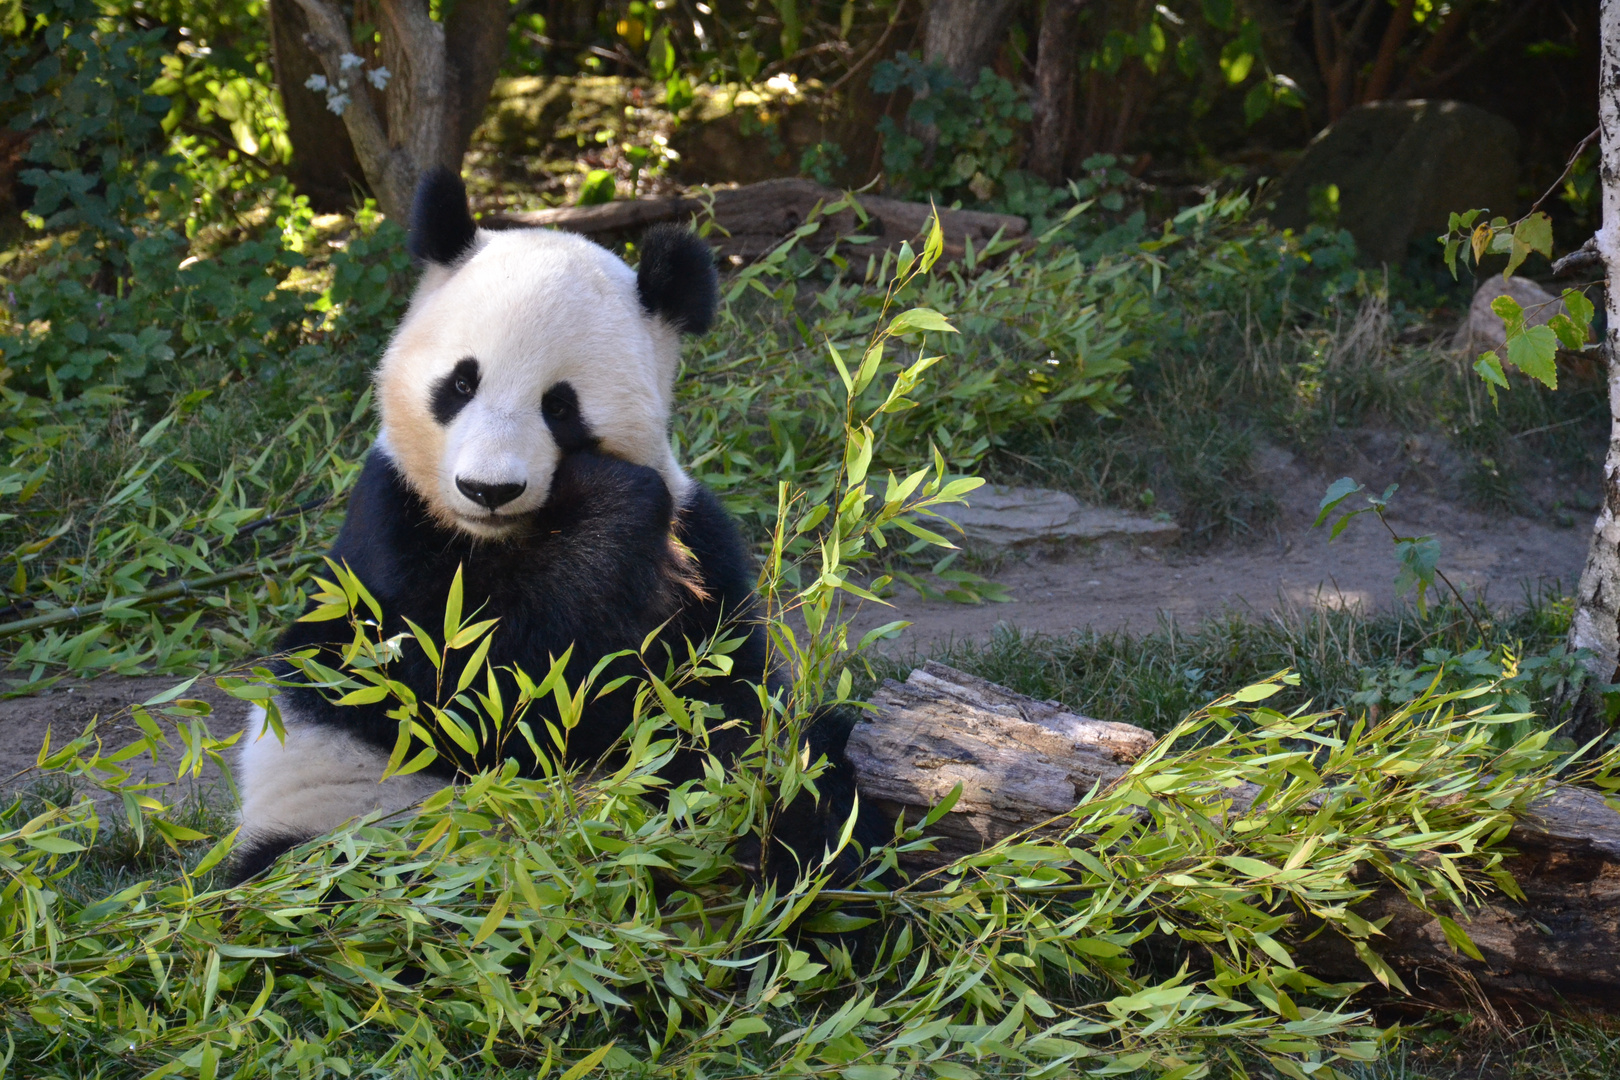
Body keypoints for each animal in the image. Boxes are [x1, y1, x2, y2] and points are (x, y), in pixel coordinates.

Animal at [233, 170, 868, 887]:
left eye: (560, 406)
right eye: (461, 383)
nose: (489, 489)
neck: (504, 536)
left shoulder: (702, 547)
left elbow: (720, 698)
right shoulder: (391, 529)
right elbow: (467, 689)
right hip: (348, 836)